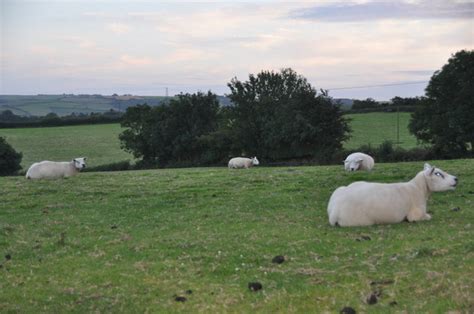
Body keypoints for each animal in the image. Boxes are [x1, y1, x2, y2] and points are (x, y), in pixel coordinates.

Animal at [328, 163, 458, 227]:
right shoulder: (415, 216)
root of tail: (334, 211)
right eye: (438, 174)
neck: (417, 189)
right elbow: (428, 216)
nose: (456, 179)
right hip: (361, 221)